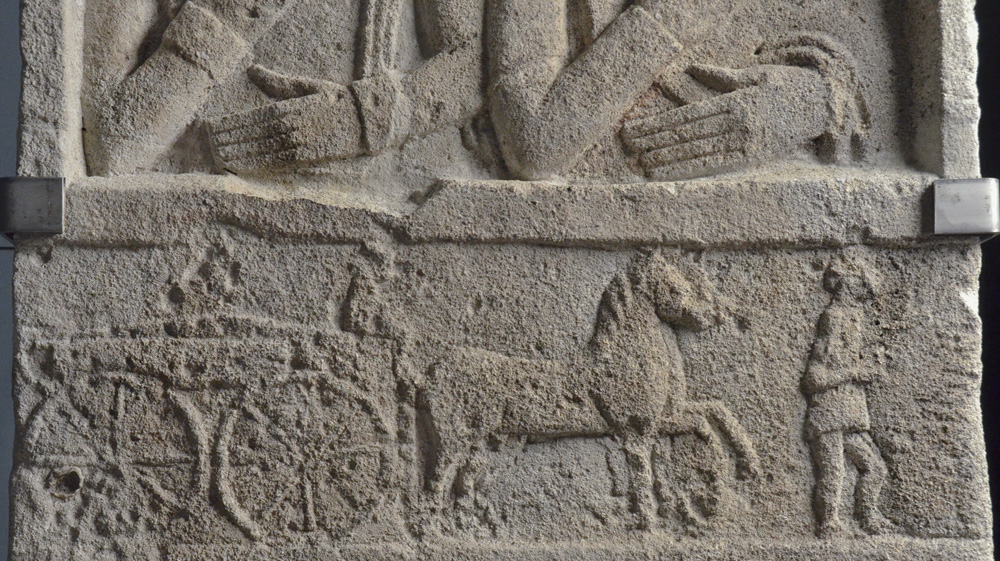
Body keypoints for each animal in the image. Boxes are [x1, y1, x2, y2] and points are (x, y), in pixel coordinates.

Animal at [417, 249, 759, 530]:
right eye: (676, 288)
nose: (707, 318)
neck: (625, 359)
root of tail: (432, 372)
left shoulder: (660, 420)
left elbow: (714, 412)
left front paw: (745, 465)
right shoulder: (635, 430)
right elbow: (650, 466)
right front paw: (656, 517)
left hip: (481, 440)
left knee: (463, 480)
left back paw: (468, 523)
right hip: (455, 435)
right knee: (436, 479)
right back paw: (429, 529)